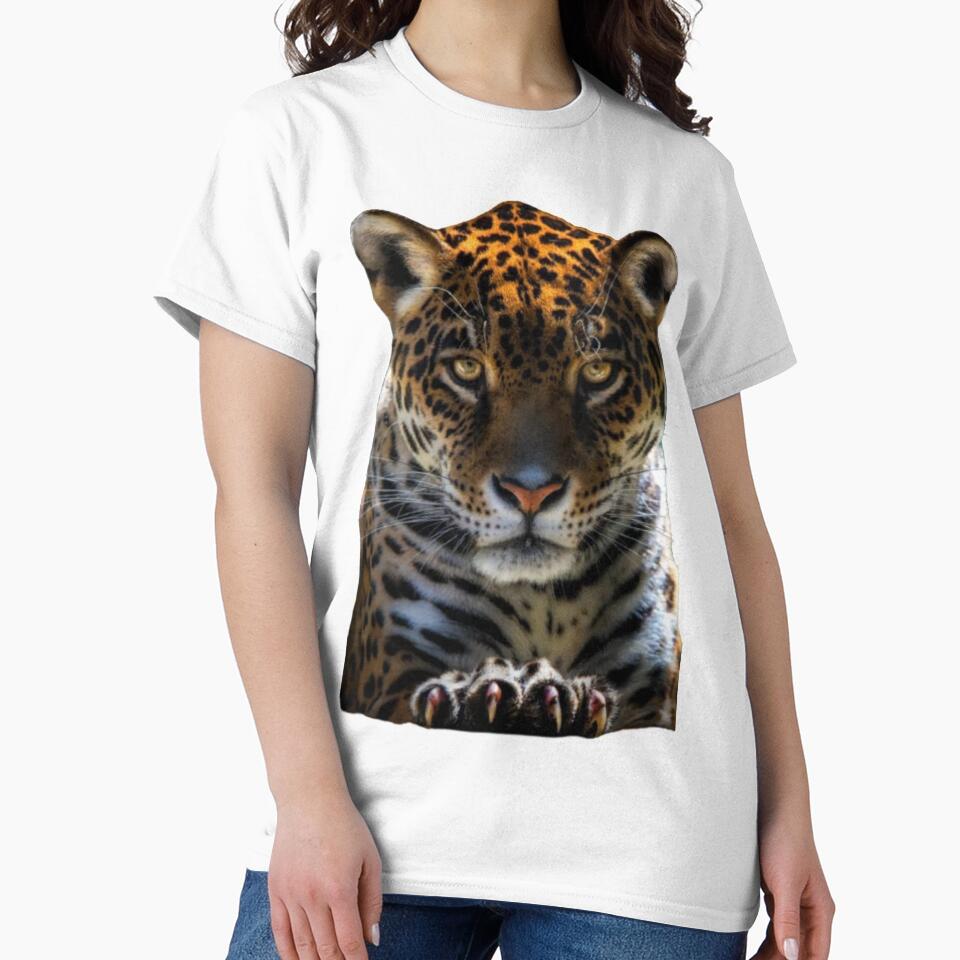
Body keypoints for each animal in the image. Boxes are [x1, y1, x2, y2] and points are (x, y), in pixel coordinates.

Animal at [338, 201, 682, 737]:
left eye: (598, 372)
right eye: (465, 370)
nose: (531, 493)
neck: (548, 602)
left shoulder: (651, 685)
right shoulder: (394, 670)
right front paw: (504, 696)